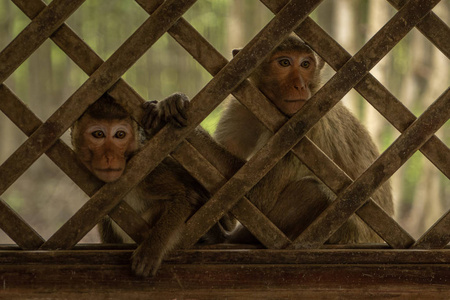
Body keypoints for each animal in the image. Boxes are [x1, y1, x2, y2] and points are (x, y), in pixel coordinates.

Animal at [70, 94, 243, 276]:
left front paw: (152, 248)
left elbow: (184, 197)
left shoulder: (147, 172)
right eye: (98, 134)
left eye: (120, 134)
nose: (109, 157)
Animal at [142, 35, 392, 246]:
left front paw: (178, 127)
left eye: (305, 64)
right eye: (284, 63)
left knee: (315, 191)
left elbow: (255, 196)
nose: (300, 85)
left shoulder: (301, 128)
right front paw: (172, 102)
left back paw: (228, 237)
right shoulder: (242, 107)